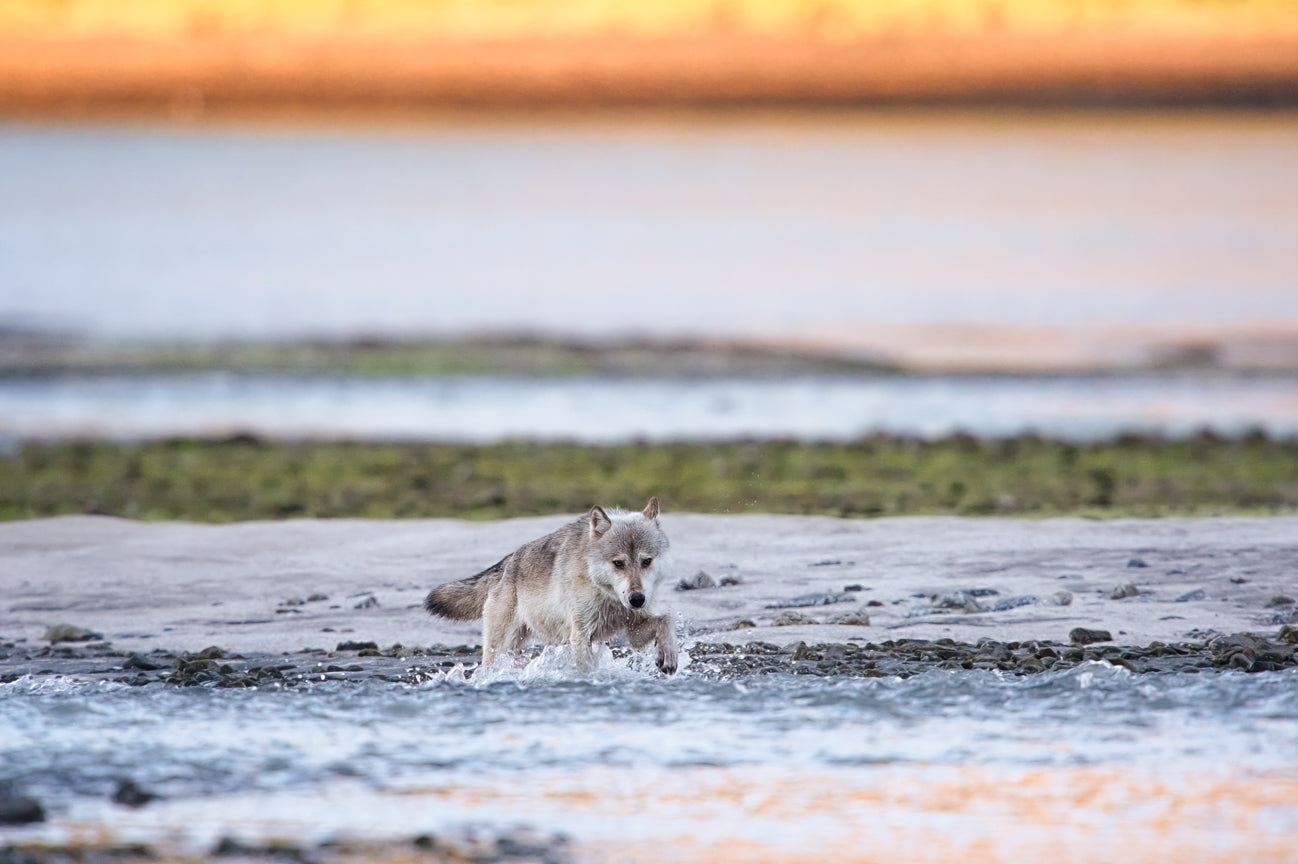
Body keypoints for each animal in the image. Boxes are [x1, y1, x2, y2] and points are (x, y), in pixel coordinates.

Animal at [425, 497, 678, 675]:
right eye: (618, 563)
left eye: (646, 561)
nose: (637, 599)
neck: (607, 596)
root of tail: (508, 563)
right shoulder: (580, 636)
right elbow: (587, 670)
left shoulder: (634, 630)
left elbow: (665, 619)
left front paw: (668, 656)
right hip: (501, 649)